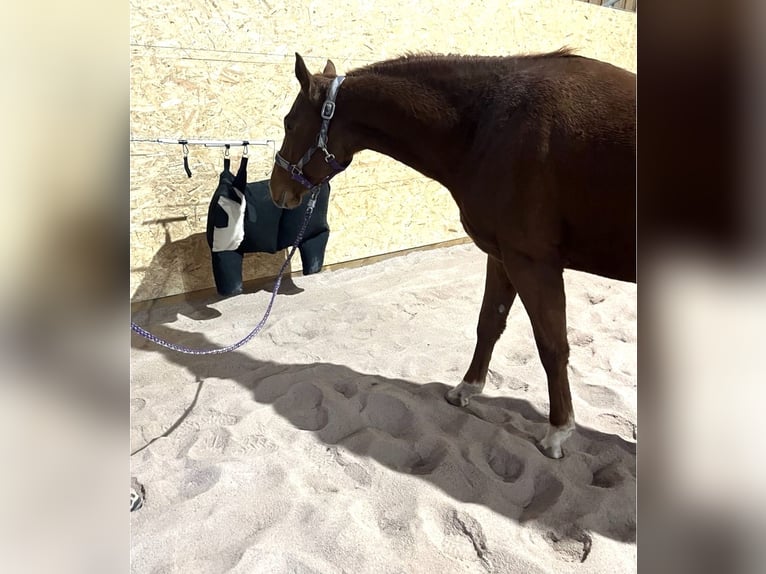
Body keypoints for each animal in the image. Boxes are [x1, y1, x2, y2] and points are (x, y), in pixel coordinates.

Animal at [269, 50, 636, 459]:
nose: (275, 189)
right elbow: (489, 323)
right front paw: (467, 390)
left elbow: (552, 346)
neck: (491, 124)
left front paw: (558, 431)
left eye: (289, 123)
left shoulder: (533, 263)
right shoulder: (503, 257)